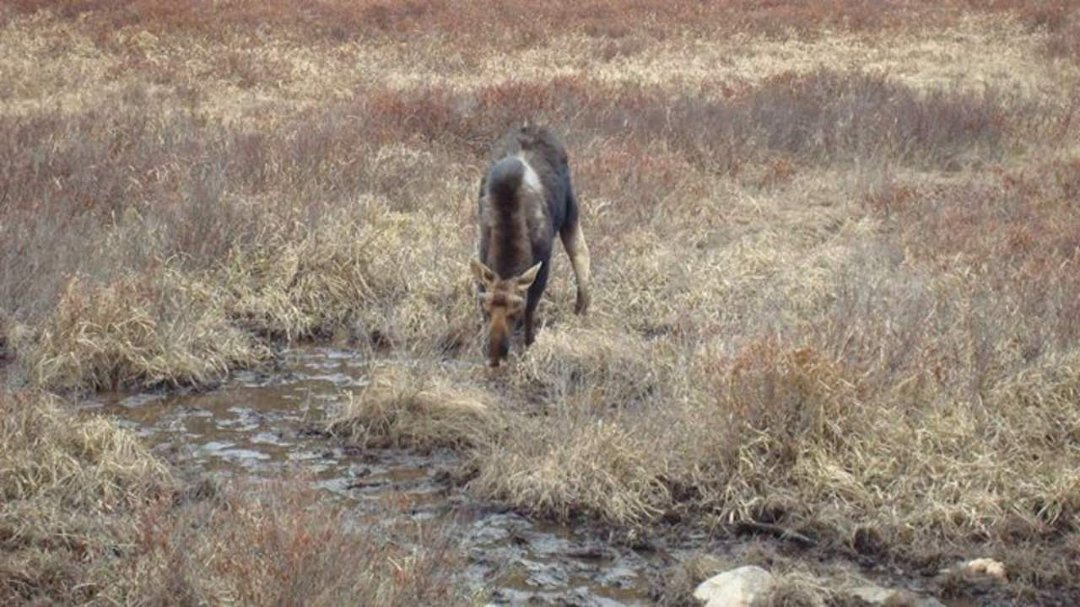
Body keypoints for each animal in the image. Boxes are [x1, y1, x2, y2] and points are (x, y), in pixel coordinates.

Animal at [470, 123, 591, 367]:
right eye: (485, 310)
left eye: (514, 312)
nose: (495, 358)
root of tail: (535, 125)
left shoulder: (543, 262)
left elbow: (532, 308)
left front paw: (529, 345)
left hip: (570, 209)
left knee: (580, 253)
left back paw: (581, 307)